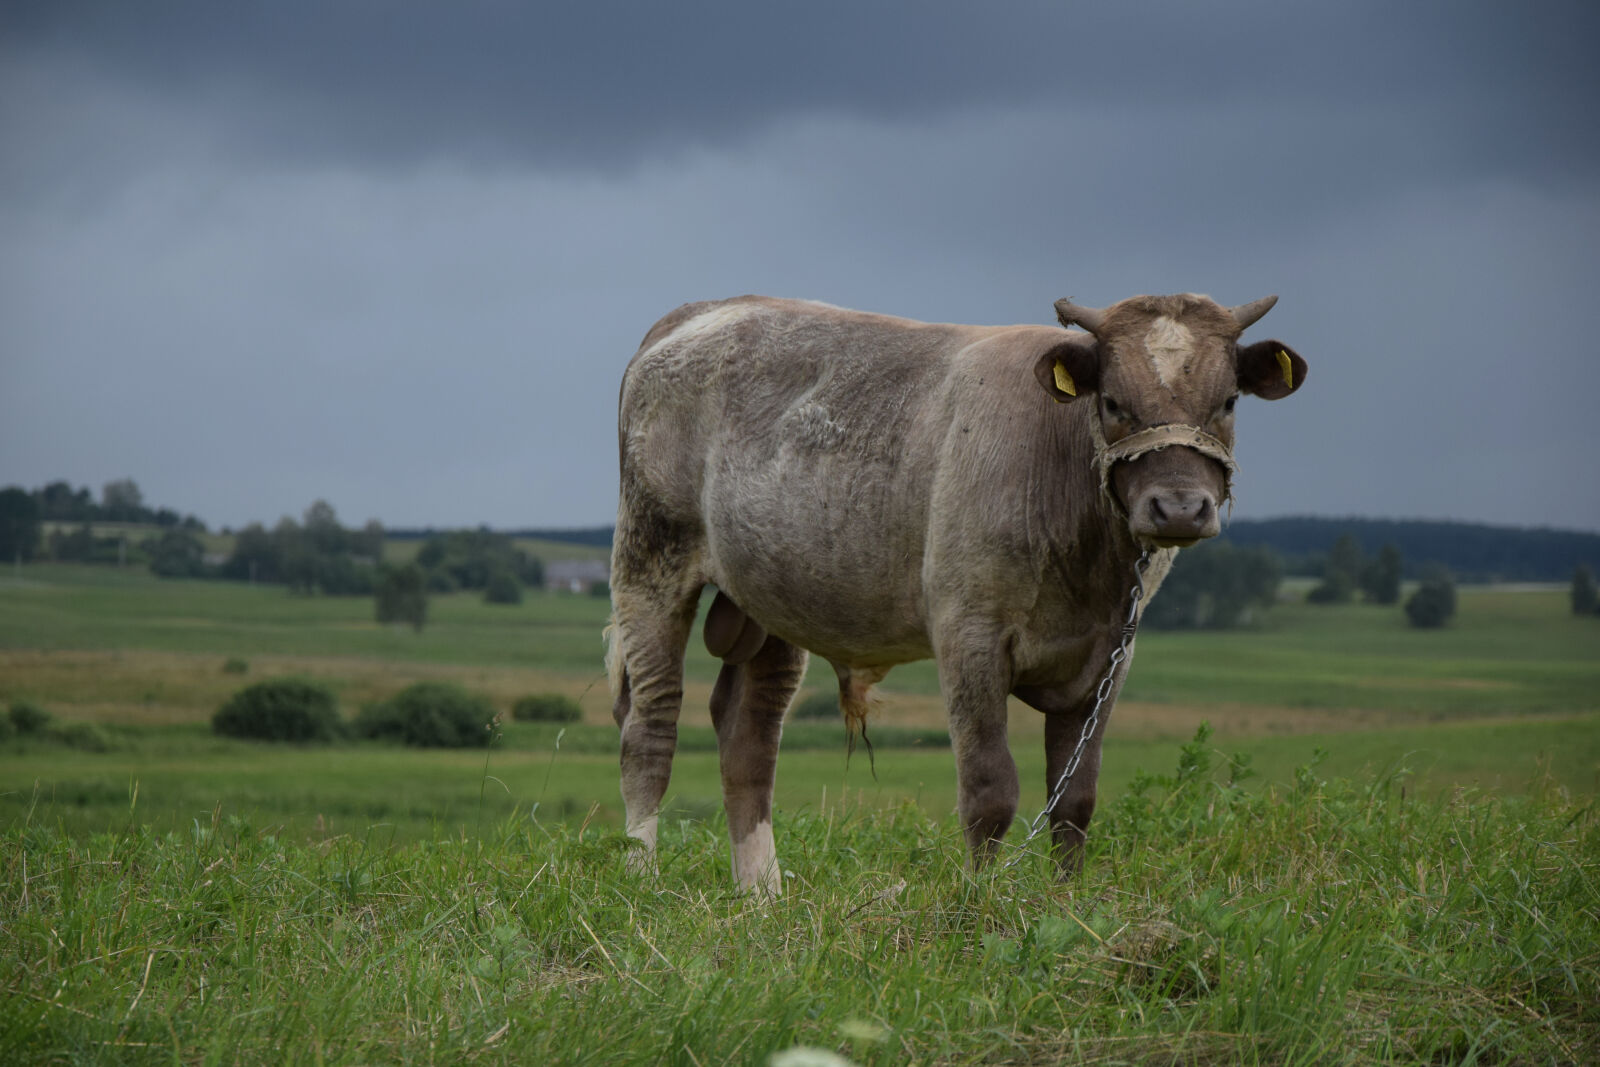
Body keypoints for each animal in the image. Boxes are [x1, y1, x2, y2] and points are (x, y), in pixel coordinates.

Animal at [606, 292, 1307, 895]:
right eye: (1112, 402)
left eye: (1228, 401)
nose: (1180, 508)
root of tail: (704, 310)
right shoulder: (969, 635)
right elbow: (990, 789)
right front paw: (979, 902)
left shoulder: (1112, 654)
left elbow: (1075, 796)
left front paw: (1069, 905)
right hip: (650, 560)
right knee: (651, 724)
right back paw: (642, 877)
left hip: (773, 599)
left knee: (748, 731)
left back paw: (762, 893)